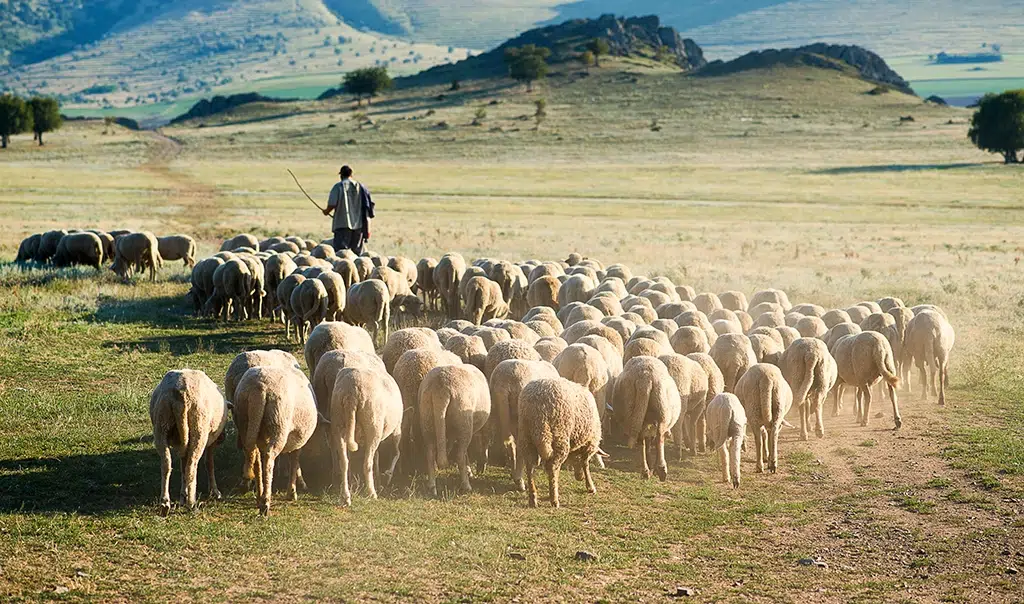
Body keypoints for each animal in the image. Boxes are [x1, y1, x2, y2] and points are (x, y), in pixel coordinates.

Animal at [149, 368, 228, 515]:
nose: (222, 438)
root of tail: (181, 393)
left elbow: (182, 468)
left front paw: (182, 495)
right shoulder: (210, 442)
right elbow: (209, 464)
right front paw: (215, 491)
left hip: (161, 426)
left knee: (166, 465)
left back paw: (165, 503)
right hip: (199, 430)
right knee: (192, 466)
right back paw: (191, 503)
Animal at [233, 368, 319, 515]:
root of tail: (260, 389)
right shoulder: (298, 439)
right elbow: (294, 461)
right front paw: (292, 492)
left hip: (245, 421)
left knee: (255, 457)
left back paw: (259, 496)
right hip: (279, 424)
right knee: (269, 458)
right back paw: (265, 503)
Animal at [331, 368, 403, 505]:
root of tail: (351, 391)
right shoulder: (397, 429)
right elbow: (396, 452)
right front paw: (388, 475)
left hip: (338, 423)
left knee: (344, 462)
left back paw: (346, 496)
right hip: (373, 424)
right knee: (367, 463)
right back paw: (371, 492)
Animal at [419, 364, 491, 497]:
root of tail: (441, 388)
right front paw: (469, 471)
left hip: (427, 419)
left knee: (430, 453)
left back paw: (432, 486)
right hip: (464, 422)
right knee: (459, 455)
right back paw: (466, 486)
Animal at [516, 380, 602, 509]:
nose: (579, 477)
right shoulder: (590, 443)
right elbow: (585, 463)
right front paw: (590, 487)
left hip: (526, 436)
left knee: (530, 467)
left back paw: (533, 498)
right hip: (559, 436)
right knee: (553, 468)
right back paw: (554, 499)